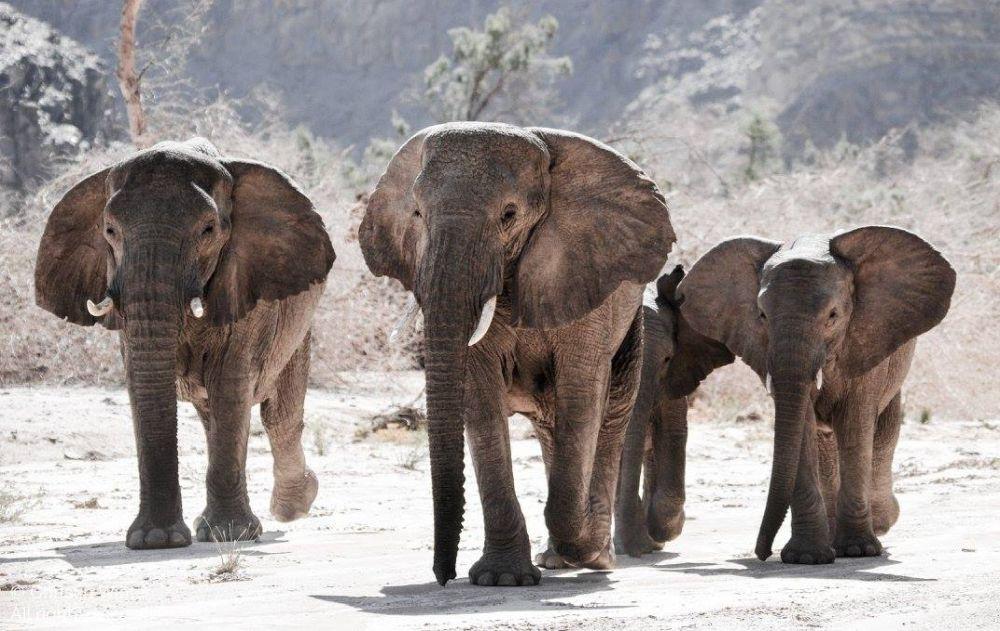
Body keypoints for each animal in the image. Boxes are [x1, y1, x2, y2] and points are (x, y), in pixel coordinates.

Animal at [34, 137, 336, 548]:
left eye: (208, 229)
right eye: (109, 230)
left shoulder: (244, 282)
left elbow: (230, 381)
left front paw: (228, 534)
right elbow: (141, 385)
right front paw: (155, 540)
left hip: (298, 321)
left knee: (278, 412)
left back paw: (291, 507)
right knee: (215, 416)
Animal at [356, 123, 676, 588]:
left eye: (509, 215)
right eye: (416, 214)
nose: (443, 575)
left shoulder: (586, 273)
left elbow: (582, 392)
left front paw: (582, 543)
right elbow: (480, 400)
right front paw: (502, 578)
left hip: (631, 322)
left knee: (609, 415)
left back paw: (596, 556)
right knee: (552, 427)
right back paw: (562, 557)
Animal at [668, 228, 956, 568]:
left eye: (833, 315)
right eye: (761, 315)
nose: (762, 553)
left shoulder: (865, 340)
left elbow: (855, 425)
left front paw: (859, 551)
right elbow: (802, 425)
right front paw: (806, 557)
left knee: (884, 431)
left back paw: (881, 524)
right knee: (826, 445)